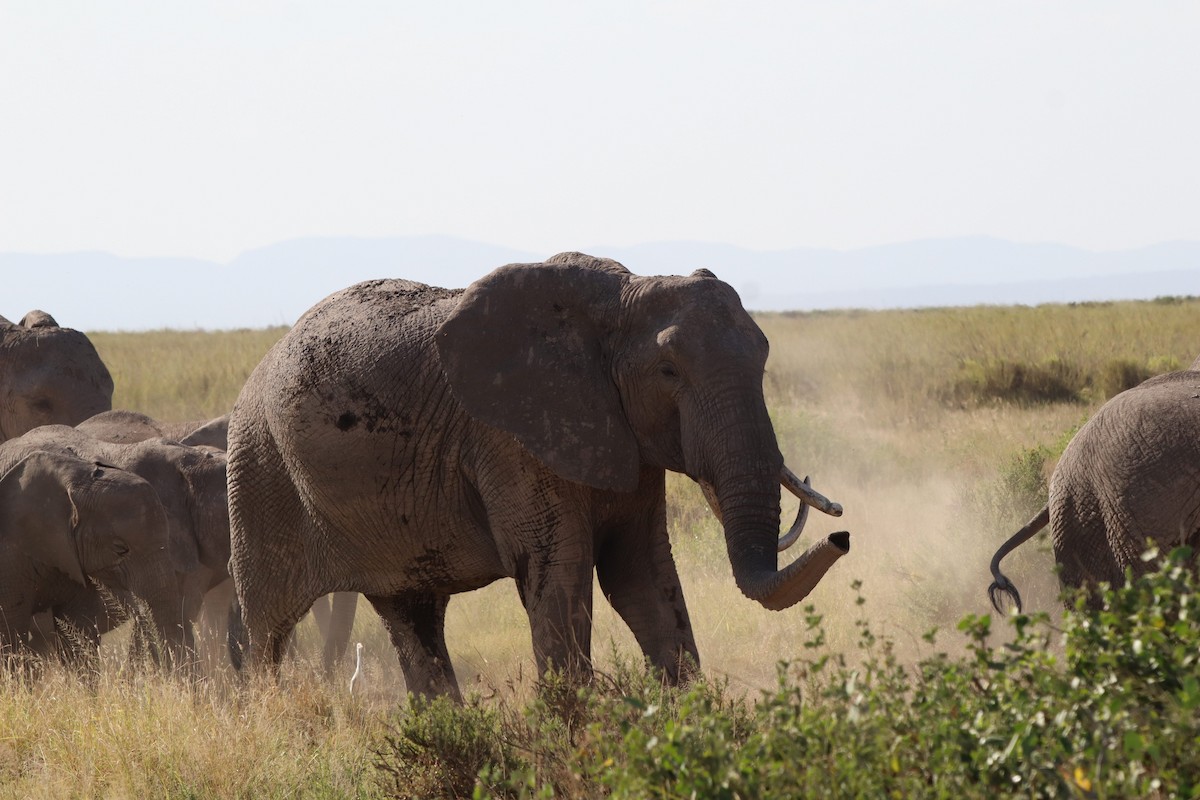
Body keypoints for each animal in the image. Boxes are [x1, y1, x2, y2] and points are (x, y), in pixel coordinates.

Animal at [227, 252, 850, 699]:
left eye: (764, 355)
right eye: (668, 371)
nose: (842, 534)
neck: (622, 296)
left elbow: (643, 576)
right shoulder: (512, 440)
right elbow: (562, 579)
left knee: (413, 617)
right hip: (258, 469)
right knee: (268, 629)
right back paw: (274, 724)